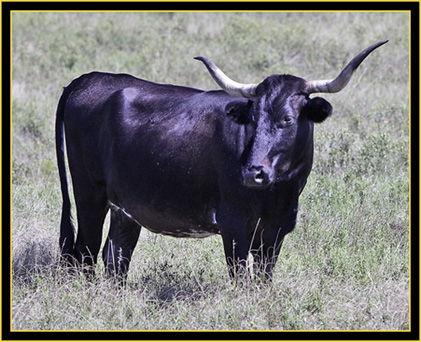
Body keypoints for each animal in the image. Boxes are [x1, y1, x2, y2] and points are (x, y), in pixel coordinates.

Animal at [55, 40, 388, 280]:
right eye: (252, 118)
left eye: (287, 119)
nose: (253, 173)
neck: (277, 193)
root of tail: (87, 79)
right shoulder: (233, 225)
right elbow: (240, 278)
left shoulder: (276, 230)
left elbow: (263, 280)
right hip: (89, 195)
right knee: (84, 253)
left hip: (124, 208)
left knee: (116, 256)